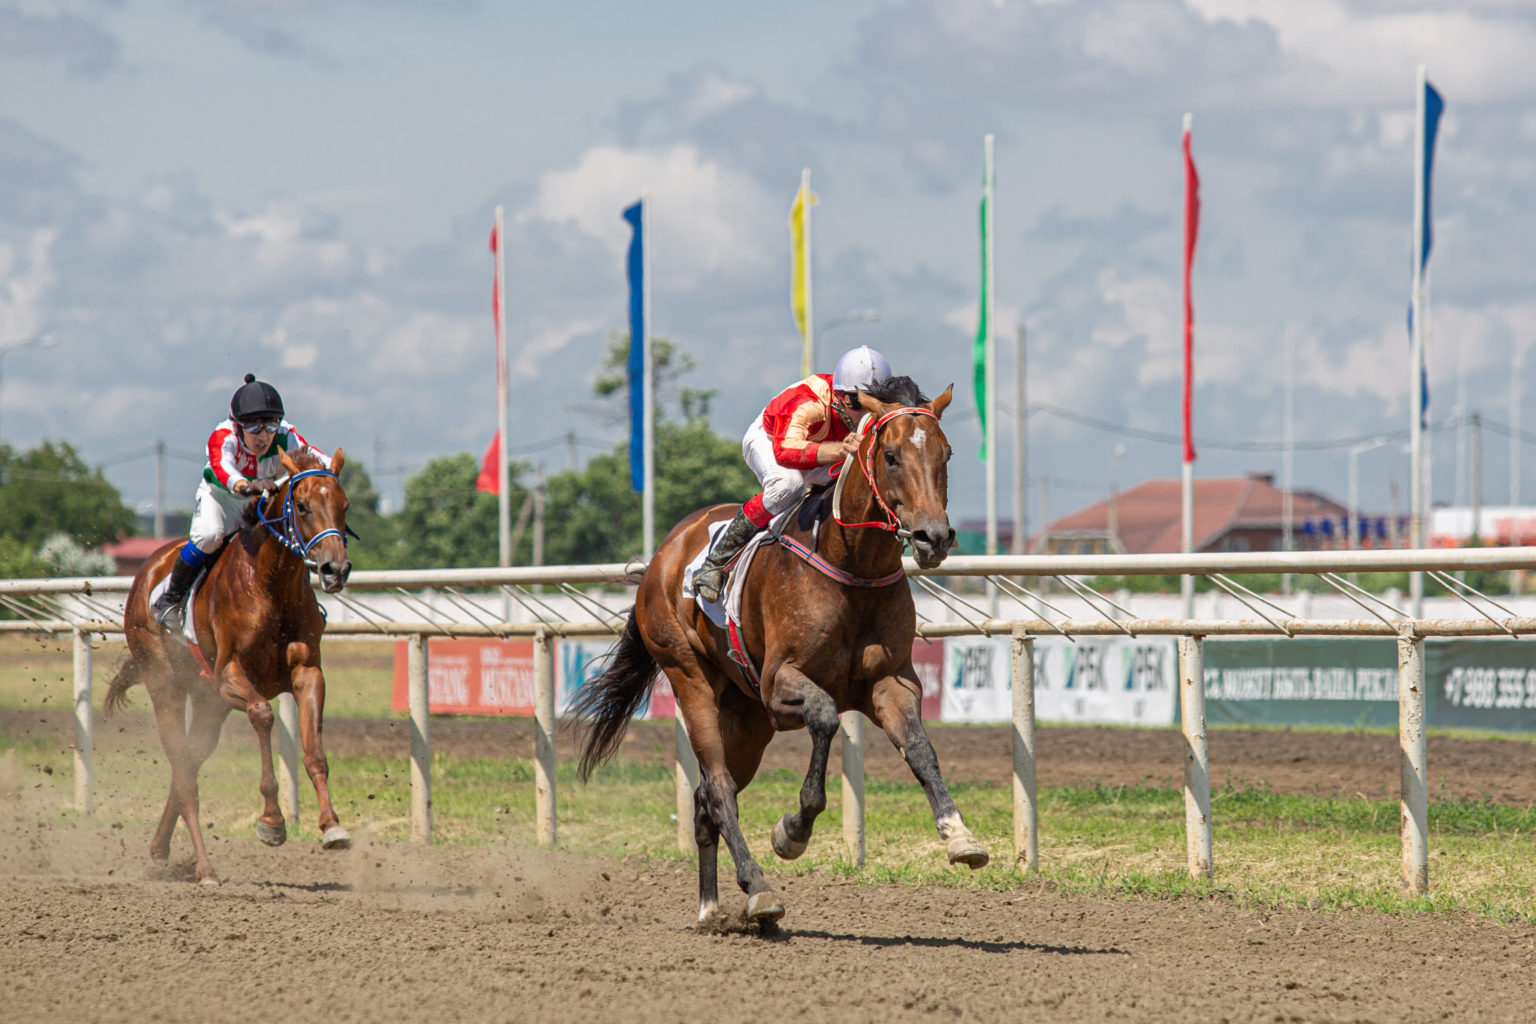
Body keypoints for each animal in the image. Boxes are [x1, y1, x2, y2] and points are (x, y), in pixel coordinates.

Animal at [103, 451, 351, 890]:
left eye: (345, 505)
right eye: (303, 506)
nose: (334, 569)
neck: (270, 585)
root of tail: (147, 572)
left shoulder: (307, 673)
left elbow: (315, 752)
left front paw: (331, 825)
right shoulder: (229, 676)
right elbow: (263, 715)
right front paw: (271, 821)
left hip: (208, 704)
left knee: (189, 759)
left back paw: (159, 848)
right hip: (165, 683)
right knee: (183, 769)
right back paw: (204, 868)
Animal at [571, 380, 989, 927]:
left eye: (947, 453)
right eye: (892, 456)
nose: (933, 537)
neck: (850, 563)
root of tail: (662, 555)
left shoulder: (890, 682)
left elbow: (920, 749)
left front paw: (959, 835)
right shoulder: (778, 686)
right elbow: (826, 716)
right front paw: (793, 831)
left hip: (747, 718)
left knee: (706, 798)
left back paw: (711, 907)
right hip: (690, 675)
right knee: (720, 789)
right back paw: (759, 889)